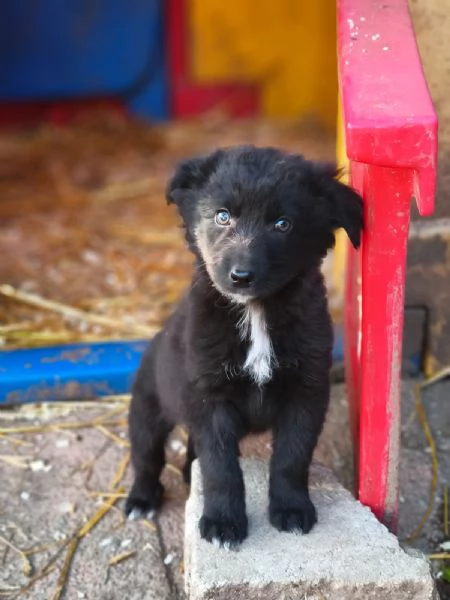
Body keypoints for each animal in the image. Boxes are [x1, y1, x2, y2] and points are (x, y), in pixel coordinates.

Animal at [125, 145, 364, 548]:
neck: (255, 312)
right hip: (146, 408)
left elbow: (291, 458)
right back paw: (141, 499)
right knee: (146, 458)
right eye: (222, 216)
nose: (241, 276)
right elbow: (221, 468)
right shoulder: (211, 397)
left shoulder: (306, 393)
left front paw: (291, 509)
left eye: (283, 224)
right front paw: (223, 522)